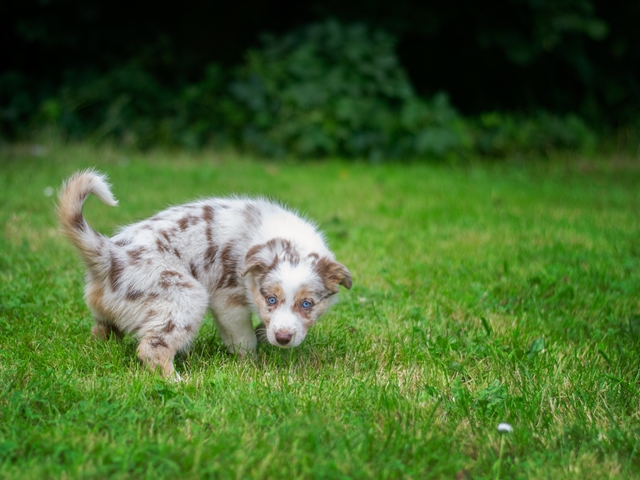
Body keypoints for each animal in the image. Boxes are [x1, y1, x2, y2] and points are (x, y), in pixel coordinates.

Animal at [57, 170, 352, 378]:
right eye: (271, 299)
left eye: (307, 304)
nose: (282, 339)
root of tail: (109, 253)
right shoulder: (228, 300)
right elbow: (243, 339)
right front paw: (252, 365)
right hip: (186, 297)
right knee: (152, 348)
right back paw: (178, 382)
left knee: (101, 332)